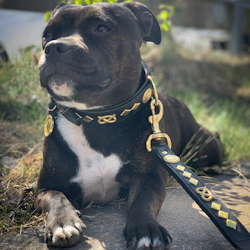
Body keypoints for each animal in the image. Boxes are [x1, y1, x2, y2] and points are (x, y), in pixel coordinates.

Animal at [35, 1, 223, 248]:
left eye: (102, 28)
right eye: (47, 35)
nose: (54, 47)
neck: (97, 120)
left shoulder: (149, 178)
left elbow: (142, 202)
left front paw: (145, 228)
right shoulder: (45, 186)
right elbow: (56, 197)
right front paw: (62, 222)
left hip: (204, 144)